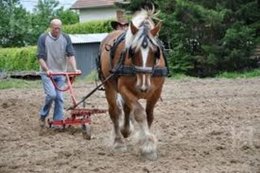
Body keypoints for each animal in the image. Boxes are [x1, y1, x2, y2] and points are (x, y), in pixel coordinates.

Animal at [98, 9, 169, 161]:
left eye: (155, 52)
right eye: (133, 51)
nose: (143, 87)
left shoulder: (156, 92)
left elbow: (149, 115)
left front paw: (145, 141)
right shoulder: (124, 89)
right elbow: (140, 113)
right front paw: (147, 147)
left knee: (125, 109)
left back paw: (125, 130)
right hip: (109, 86)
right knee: (114, 112)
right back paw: (118, 141)